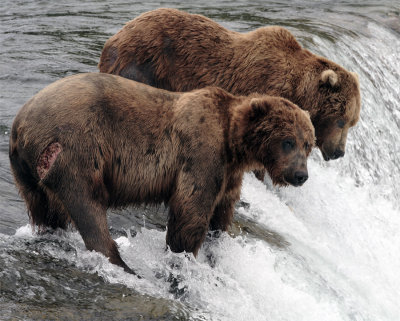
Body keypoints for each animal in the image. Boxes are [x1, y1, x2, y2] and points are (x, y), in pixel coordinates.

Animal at [8, 73, 316, 272]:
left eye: (308, 144)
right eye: (288, 141)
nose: (301, 175)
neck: (234, 144)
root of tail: (20, 124)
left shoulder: (229, 174)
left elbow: (222, 212)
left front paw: (217, 245)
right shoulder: (202, 152)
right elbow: (190, 212)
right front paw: (183, 256)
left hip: (29, 173)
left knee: (46, 209)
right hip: (76, 148)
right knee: (87, 205)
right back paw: (123, 265)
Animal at [98, 7, 360, 170]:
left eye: (352, 122)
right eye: (340, 120)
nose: (339, 152)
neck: (297, 91)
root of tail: (116, 36)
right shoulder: (263, 89)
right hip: (145, 63)